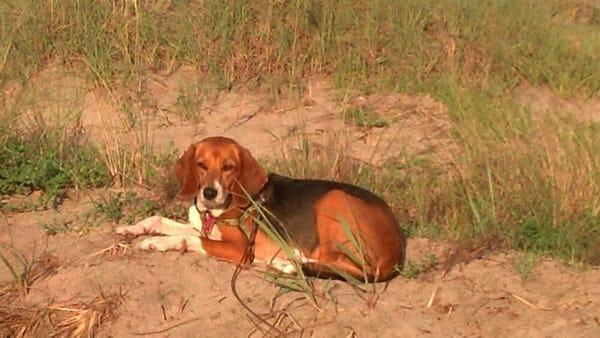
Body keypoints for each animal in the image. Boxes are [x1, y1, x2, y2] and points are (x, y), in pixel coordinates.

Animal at [116, 136, 408, 282]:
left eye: (228, 167)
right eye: (201, 165)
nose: (209, 193)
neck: (216, 211)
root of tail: (396, 251)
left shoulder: (239, 249)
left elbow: (190, 239)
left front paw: (155, 242)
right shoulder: (202, 227)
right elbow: (159, 219)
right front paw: (132, 229)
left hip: (333, 199)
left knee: (345, 267)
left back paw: (287, 263)